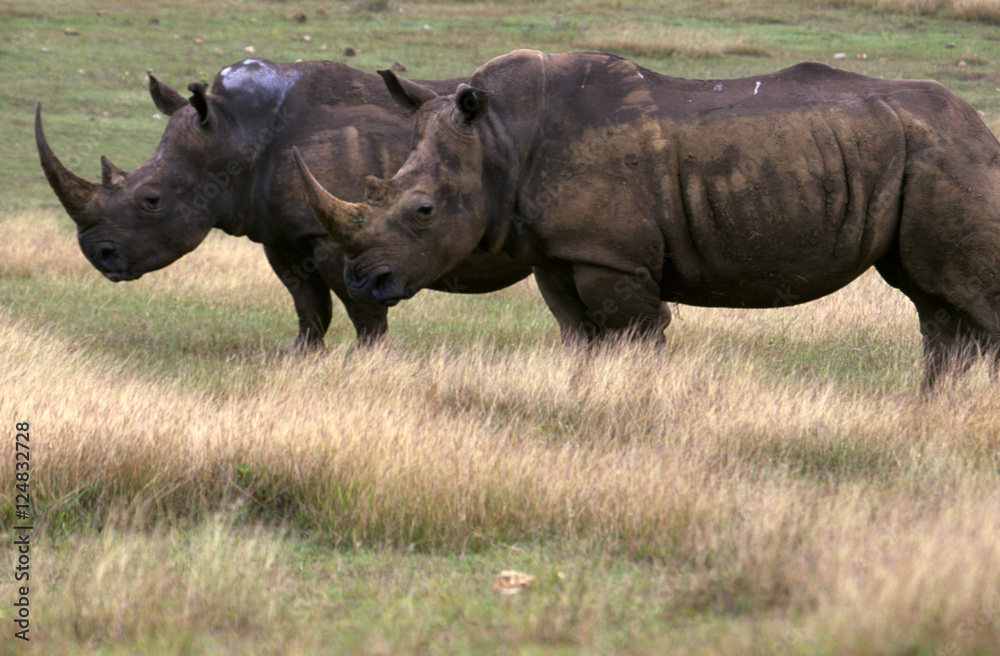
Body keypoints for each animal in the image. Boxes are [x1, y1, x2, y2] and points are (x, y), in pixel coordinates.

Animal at [35, 57, 532, 349]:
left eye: (151, 200)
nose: (100, 256)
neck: (234, 133)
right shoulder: (281, 231)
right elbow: (307, 303)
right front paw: (299, 357)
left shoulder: (342, 234)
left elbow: (362, 308)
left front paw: (368, 360)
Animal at [295, 50, 1000, 389]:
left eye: (423, 211)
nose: (361, 283)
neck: (500, 138)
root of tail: (979, 126)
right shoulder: (560, 252)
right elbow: (579, 338)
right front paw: (582, 400)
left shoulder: (615, 258)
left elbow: (636, 338)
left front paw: (639, 410)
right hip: (917, 151)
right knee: (933, 300)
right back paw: (931, 411)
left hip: (948, 153)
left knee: (963, 295)